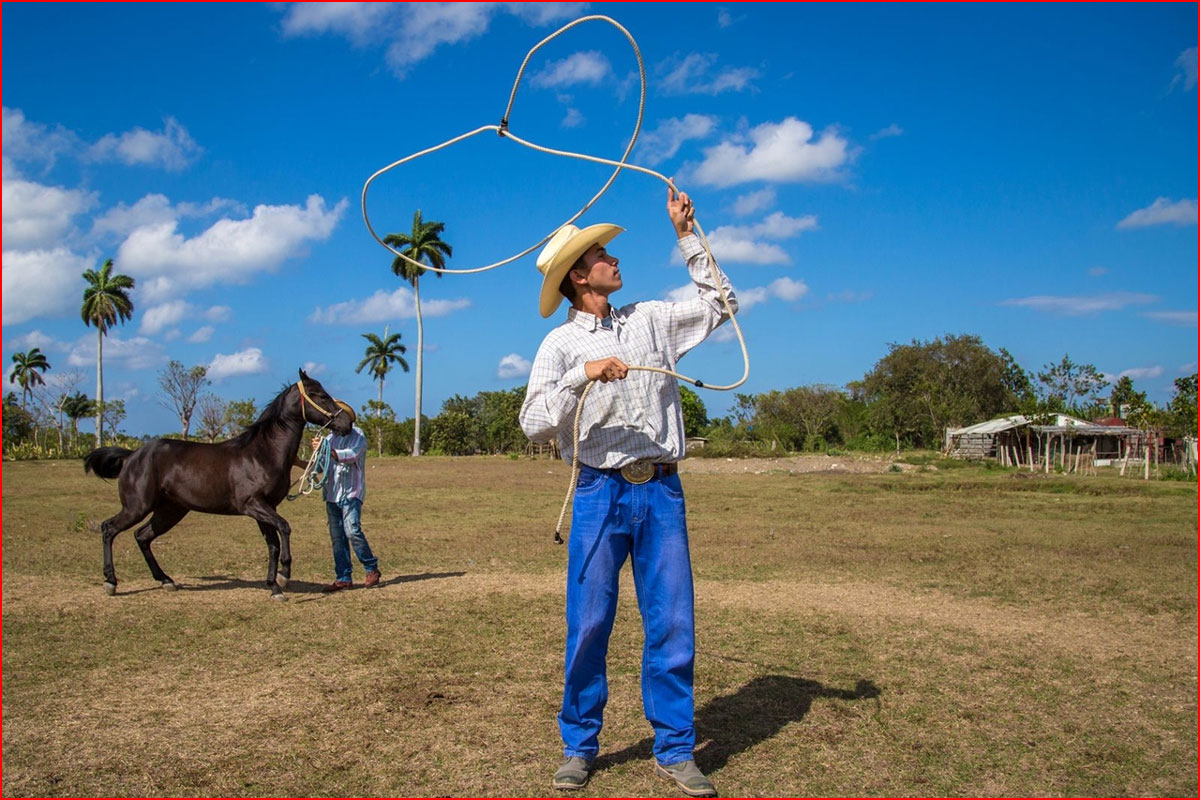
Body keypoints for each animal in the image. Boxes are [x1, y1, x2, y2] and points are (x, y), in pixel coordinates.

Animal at [81, 371, 348, 597]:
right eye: (320, 395)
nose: (346, 422)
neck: (263, 453)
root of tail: (131, 456)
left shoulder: (266, 508)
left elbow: (272, 544)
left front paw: (274, 586)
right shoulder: (253, 505)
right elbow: (284, 528)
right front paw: (284, 576)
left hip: (170, 511)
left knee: (142, 536)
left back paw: (166, 580)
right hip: (137, 507)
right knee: (109, 529)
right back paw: (111, 582)